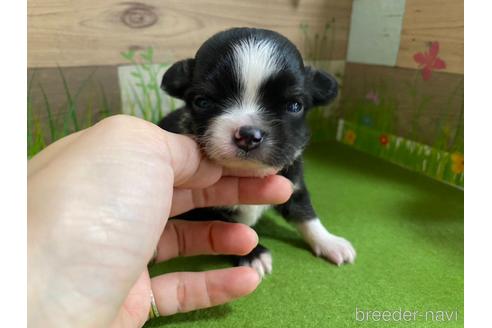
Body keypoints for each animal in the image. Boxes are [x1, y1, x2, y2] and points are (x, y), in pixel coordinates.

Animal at [160, 27, 356, 276]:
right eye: (202, 102)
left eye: (295, 106)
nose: (248, 136)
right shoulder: (201, 209)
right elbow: (232, 231)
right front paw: (253, 254)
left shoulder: (293, 184)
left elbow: (307, 215)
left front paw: (329, 241)